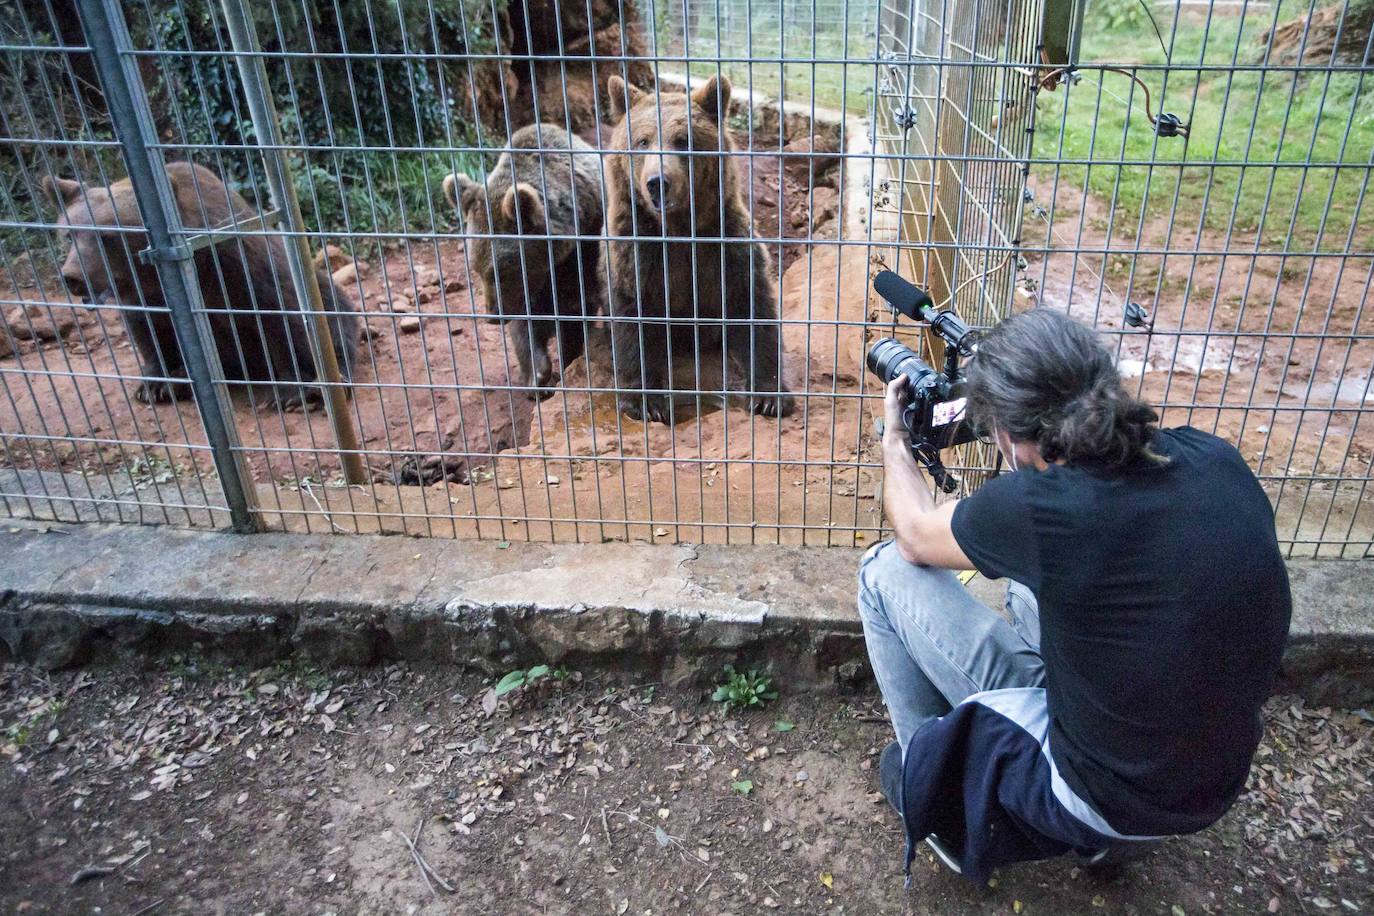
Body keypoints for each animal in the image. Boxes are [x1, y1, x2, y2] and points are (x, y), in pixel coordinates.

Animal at [45, 162, 359, 409]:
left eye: (107, 237)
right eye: (69, 235)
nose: (72, 276)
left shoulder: (241, 267)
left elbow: (281, 317)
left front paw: (296, 390)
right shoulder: (144, 297)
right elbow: (150, 332)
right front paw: (156, 384)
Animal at [604, 74, 796, 425]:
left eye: (683, 140)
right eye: (642, 140)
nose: (657, 182)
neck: (678, 230)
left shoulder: (724, 244)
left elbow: (752, 306)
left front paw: (769, 397)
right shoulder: (637, 249)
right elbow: (633, 314)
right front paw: (646, 402)